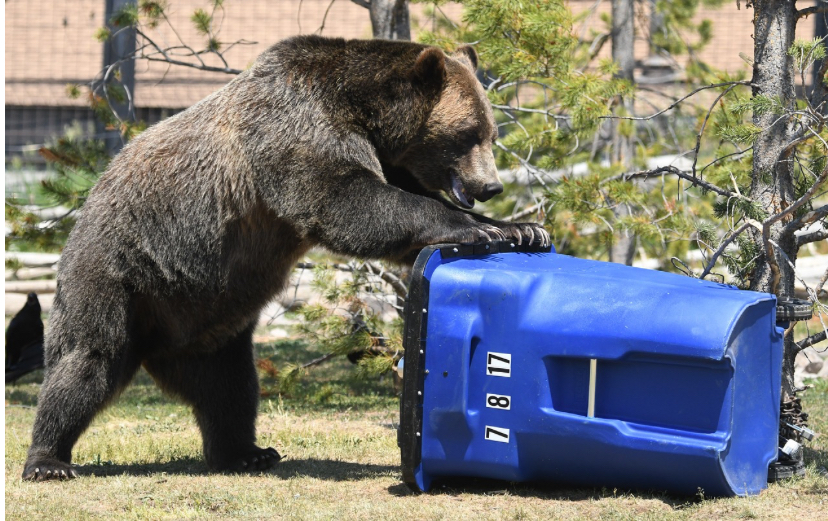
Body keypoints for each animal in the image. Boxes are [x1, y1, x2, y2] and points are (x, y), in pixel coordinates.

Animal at [21, 34, 548, 480]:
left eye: (492, 133)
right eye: (468, 133)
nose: (491, 186)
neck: (364, 113)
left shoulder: (376, 153)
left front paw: (523, 228)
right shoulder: (295, 130)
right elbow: (349, 202)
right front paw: (475, 227)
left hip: (207, 320)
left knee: (230, 388)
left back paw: (245, 452)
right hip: (118, 274)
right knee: (87, 360)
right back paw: (49, 459)